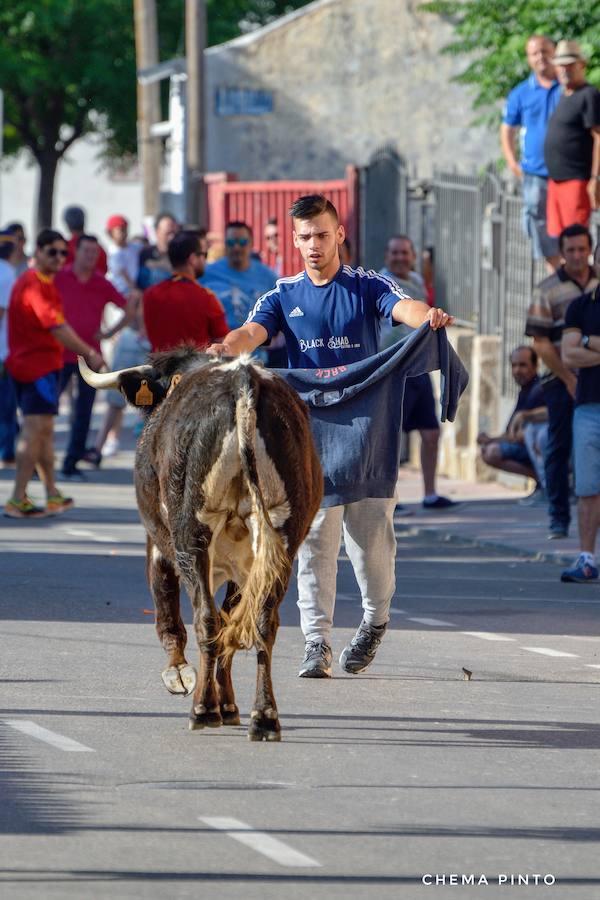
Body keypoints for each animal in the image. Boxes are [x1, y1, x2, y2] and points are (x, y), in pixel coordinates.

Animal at [82, 348, 324, 740]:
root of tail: (242, 378)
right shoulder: (245, 567)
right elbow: (233, 623)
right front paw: (229, 704)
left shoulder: (159, 545)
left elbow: (170, 608)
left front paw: (182, 677)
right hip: (281, 538)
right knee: (262, 622)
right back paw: (264, 716)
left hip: (191, 534)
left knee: (205, 619)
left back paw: (203, 708)